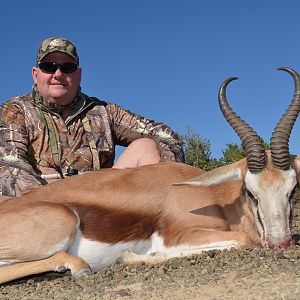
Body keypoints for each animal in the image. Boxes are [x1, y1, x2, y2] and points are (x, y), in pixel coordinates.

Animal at [0, 67, 300, 284]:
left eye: (292, 189)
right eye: (251, 191)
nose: (280, 242)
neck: (213, 196)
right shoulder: (179, 235)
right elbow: (244, 239)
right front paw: (130, 257)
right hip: (63, 221)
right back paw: (77, 267)